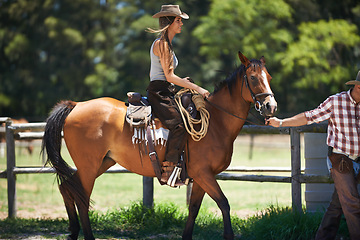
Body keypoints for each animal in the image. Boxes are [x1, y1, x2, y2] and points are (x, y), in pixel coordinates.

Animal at [43, 51, 278, 240]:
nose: (270, 106)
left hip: (102, 163)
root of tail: (76, 105)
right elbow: (224, 203)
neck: (216, 122)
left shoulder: (202, 177)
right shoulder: (204, 174)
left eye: (269, 77)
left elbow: (194, 208)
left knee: (67, 188)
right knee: (81, 197)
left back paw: (73, 232)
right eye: (253, 77)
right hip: (89, 166)